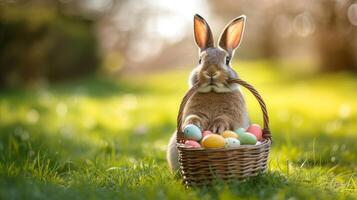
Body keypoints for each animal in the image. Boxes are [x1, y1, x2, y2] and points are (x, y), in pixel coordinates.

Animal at [166, 14, 248, 172]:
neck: (213, 91)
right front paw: (192, 125)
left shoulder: (234, 115)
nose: (210, 72)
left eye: (227, 60)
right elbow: (193, 117)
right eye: (200, 60)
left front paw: (217, 127)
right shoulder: (192, 111)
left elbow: (225, 118)